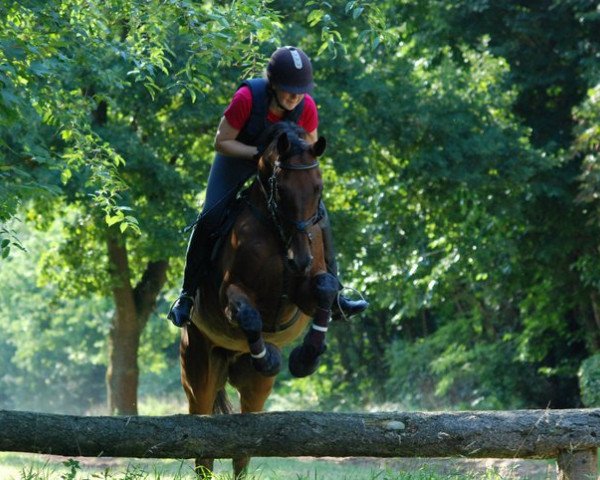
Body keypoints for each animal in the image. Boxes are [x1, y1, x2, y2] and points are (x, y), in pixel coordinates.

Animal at [178, 122, 340, 478]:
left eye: (318, 189)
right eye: (282, 191)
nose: (300, 259)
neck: (279, 233)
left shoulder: (305, 294)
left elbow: (324, 290)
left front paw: (306, 358)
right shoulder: (230, 294)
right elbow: (249, 315)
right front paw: (267, 358)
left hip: (255, 389)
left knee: (245, 445)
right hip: (198, 368)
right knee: (201, 441)